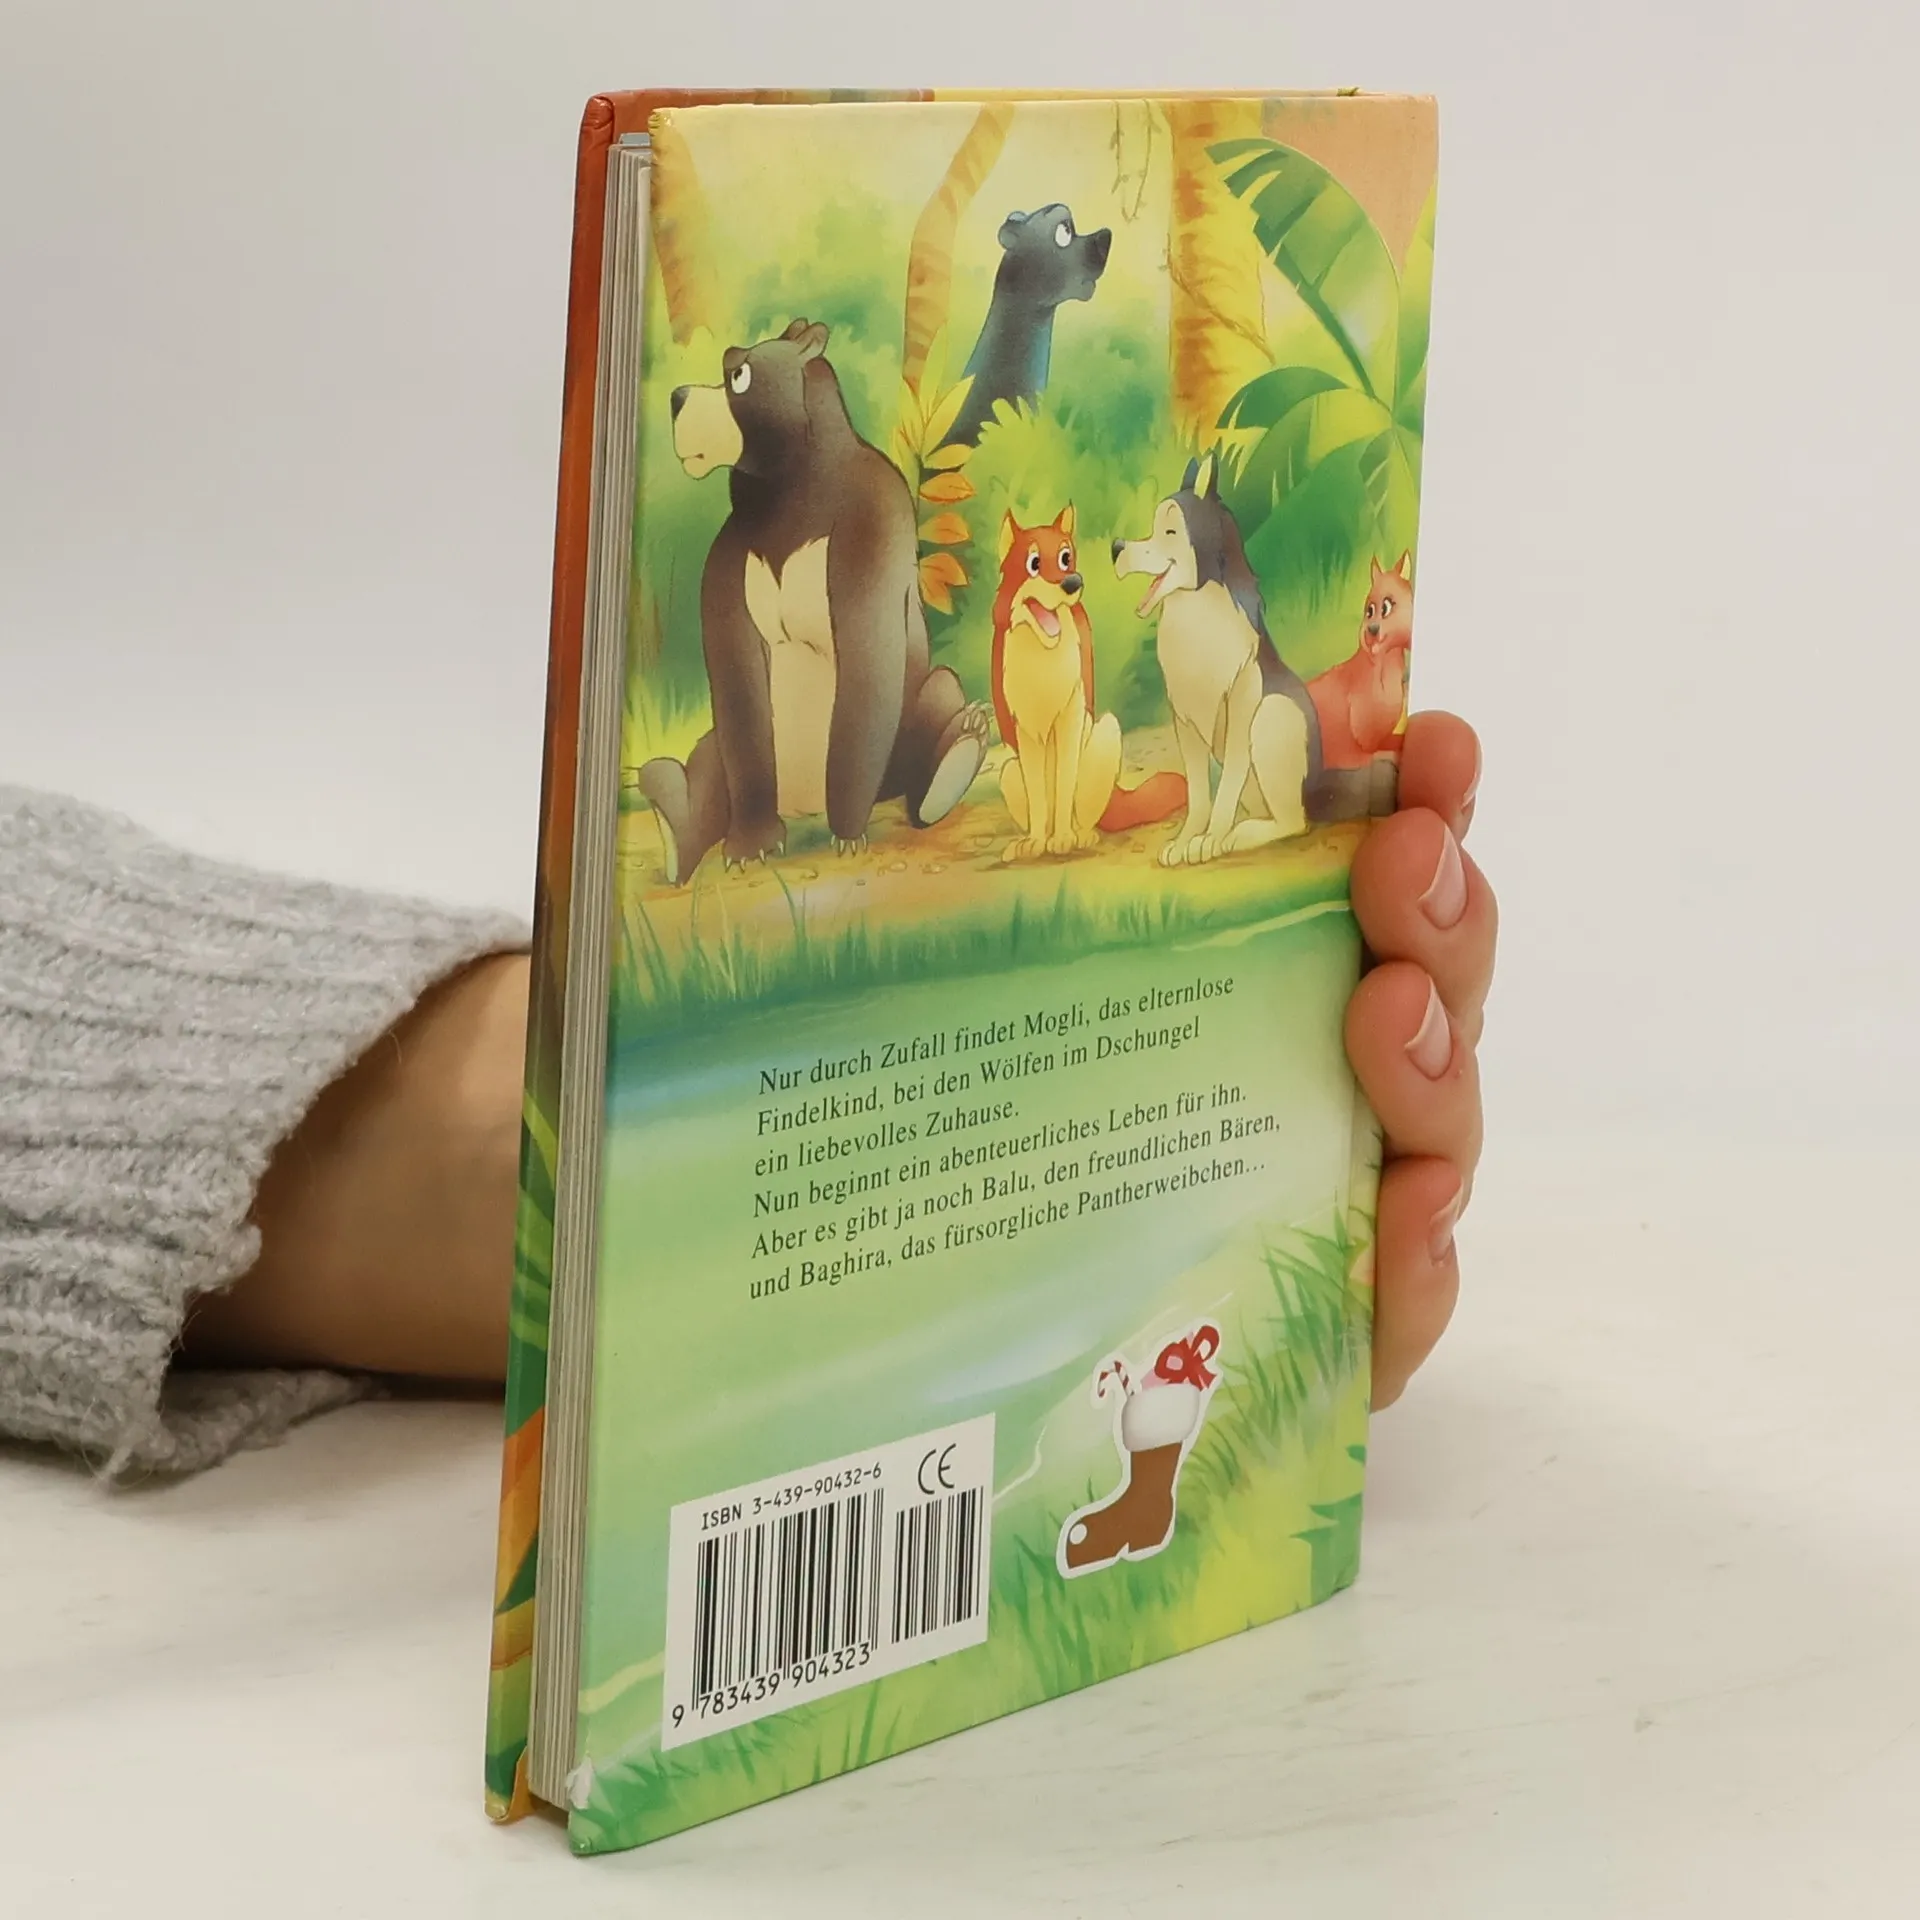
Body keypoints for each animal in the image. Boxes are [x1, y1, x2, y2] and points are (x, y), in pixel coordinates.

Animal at [639, 320, 989, 883]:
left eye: (738, 374)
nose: (675, 397)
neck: (789, 491)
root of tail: (803, 803)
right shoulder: (732, 556)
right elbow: (738, 682)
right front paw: (751, 846)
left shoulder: (870, 526)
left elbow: (866, 666)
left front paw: (848, 834)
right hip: (718, 751)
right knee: (711, 762)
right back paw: (670, 814)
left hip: (911, 718)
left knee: (937, 696)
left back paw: (960, 751)